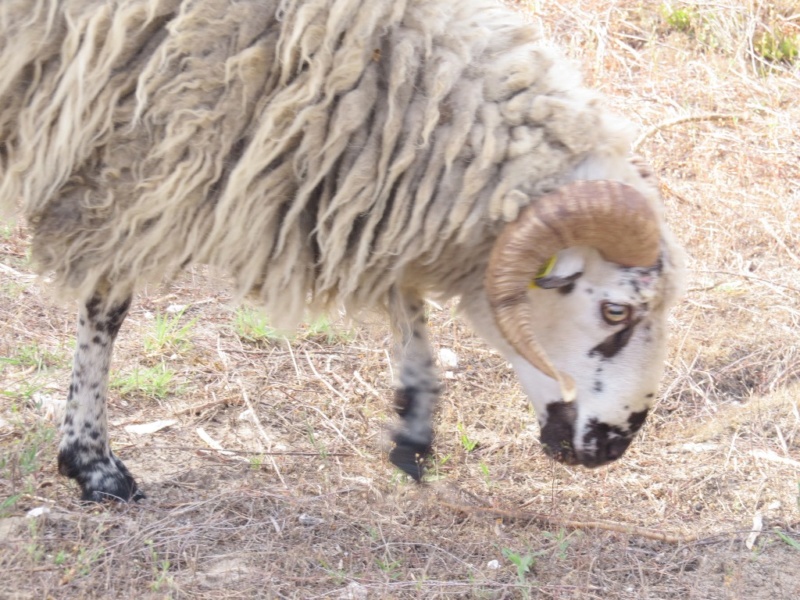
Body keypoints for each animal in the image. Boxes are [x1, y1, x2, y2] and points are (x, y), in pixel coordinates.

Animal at [1, 0, 688, 502]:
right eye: (616, 310)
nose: (619, 445)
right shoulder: (129, 160)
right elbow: (107, 308)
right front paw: (91, 462)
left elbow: (405, 294)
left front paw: (415, 416)